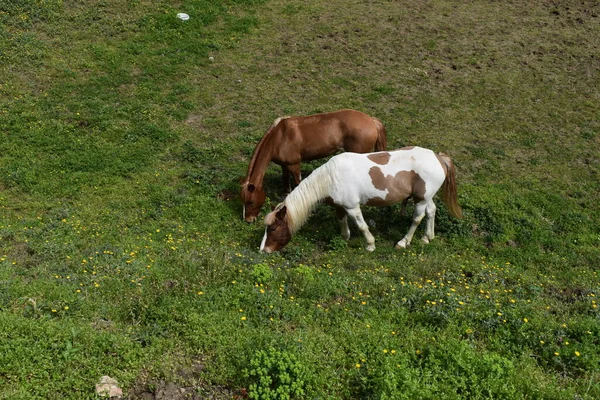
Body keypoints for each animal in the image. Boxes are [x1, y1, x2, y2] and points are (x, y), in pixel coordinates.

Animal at [238, 109, 384, 222]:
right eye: (242, 200)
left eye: (250, 201)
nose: (248, 220)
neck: (279, 137)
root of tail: (371, 121)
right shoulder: (285, 165)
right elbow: (285, 181)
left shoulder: (294, 165)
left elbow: (298, 183)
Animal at [260, 147, 462, 253]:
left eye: (273, 228)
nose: (263, 250)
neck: (331, 177)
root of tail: (439, 158)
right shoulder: (340, 207)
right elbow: (341, 221)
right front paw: (344, 238)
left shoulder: (352, 207)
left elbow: (362, 226)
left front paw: (370, 245)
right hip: (426, 198)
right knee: (431, 212)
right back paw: (427, 237)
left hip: (420, 200)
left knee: (417, 219)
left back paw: (403, 242)